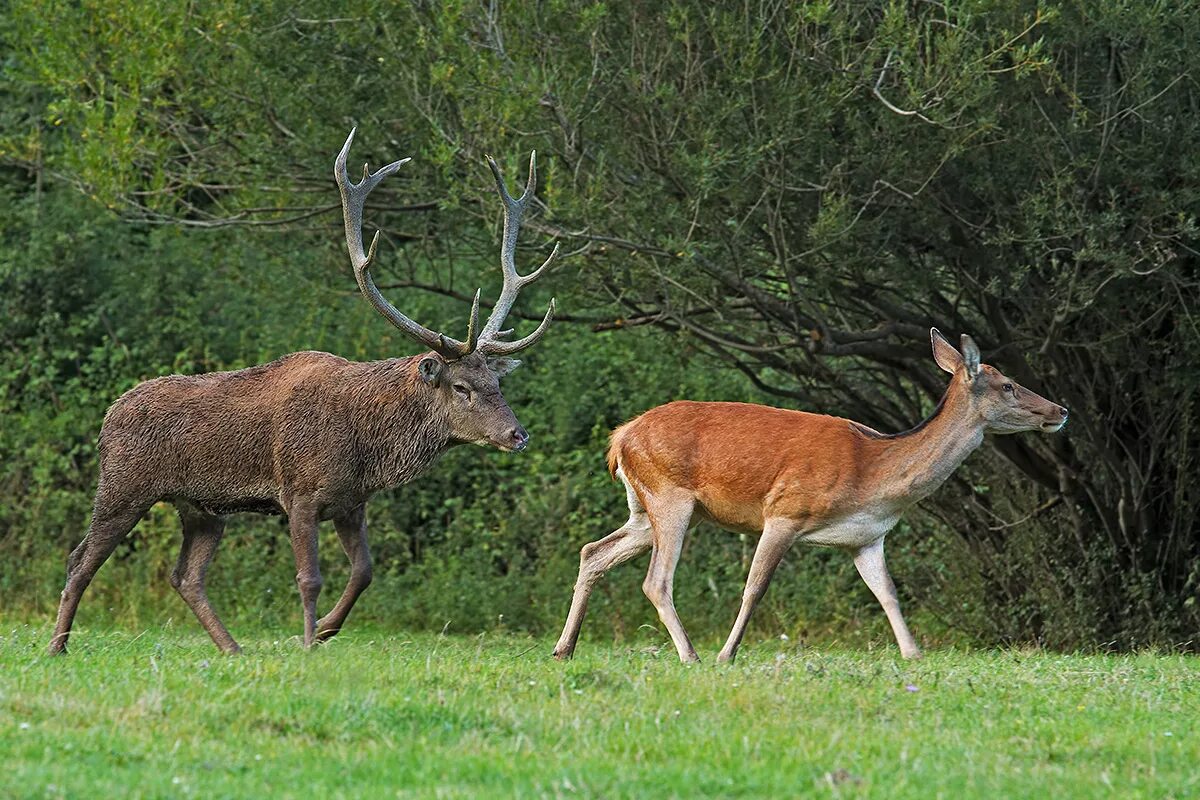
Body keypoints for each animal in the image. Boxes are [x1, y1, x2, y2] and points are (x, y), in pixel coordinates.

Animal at [45, 130, 552, 657]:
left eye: (497, 382)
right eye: (461, 387)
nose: (517, 434)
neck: (366, 445)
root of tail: (107, 417)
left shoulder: (350, 502)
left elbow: (364, 572)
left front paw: (325, 629)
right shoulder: (300, 494)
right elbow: (309, 577)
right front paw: (308, 641)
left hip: (201, 508)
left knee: (185, 575)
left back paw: (232, 648)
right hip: (123, 487)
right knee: (80, 559)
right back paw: (58, 645)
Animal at [552, 331, 1070, 662]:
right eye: (1008, 385)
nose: (1060, 410)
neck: (874, 476)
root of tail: (619, 438)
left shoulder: (867, 538)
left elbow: (888, 593)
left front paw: (913, 653)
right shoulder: (785, 511)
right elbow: (754, 587)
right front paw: (727, 654)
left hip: (647, 509)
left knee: (593, 551)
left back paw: (564, 649)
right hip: (669, 496)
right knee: (656, 581)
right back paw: (692, 655)